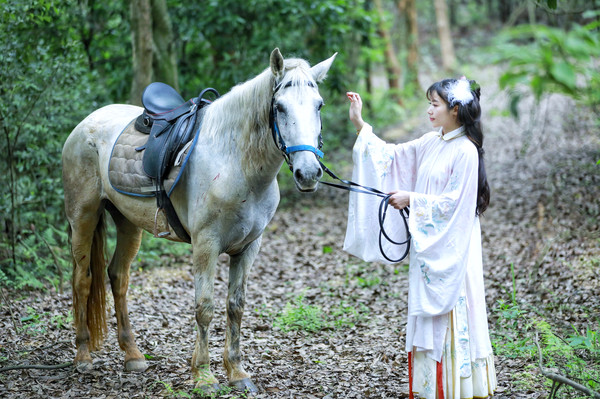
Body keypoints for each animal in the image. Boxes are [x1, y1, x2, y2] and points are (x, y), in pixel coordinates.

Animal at [63, 47, 338, 394]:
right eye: (279, 106)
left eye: (319, 105)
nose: (309, 173)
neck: (236, 162)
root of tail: (85, 125)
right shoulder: (206, 245)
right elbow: (204, 308)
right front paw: (204, 376)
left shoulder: (249, 247)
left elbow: (235, 306)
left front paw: (236, 372)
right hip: (83, 217)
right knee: (83, 280)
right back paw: (83, 357)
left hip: (127, 223)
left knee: (118, 277)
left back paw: (133, 355)